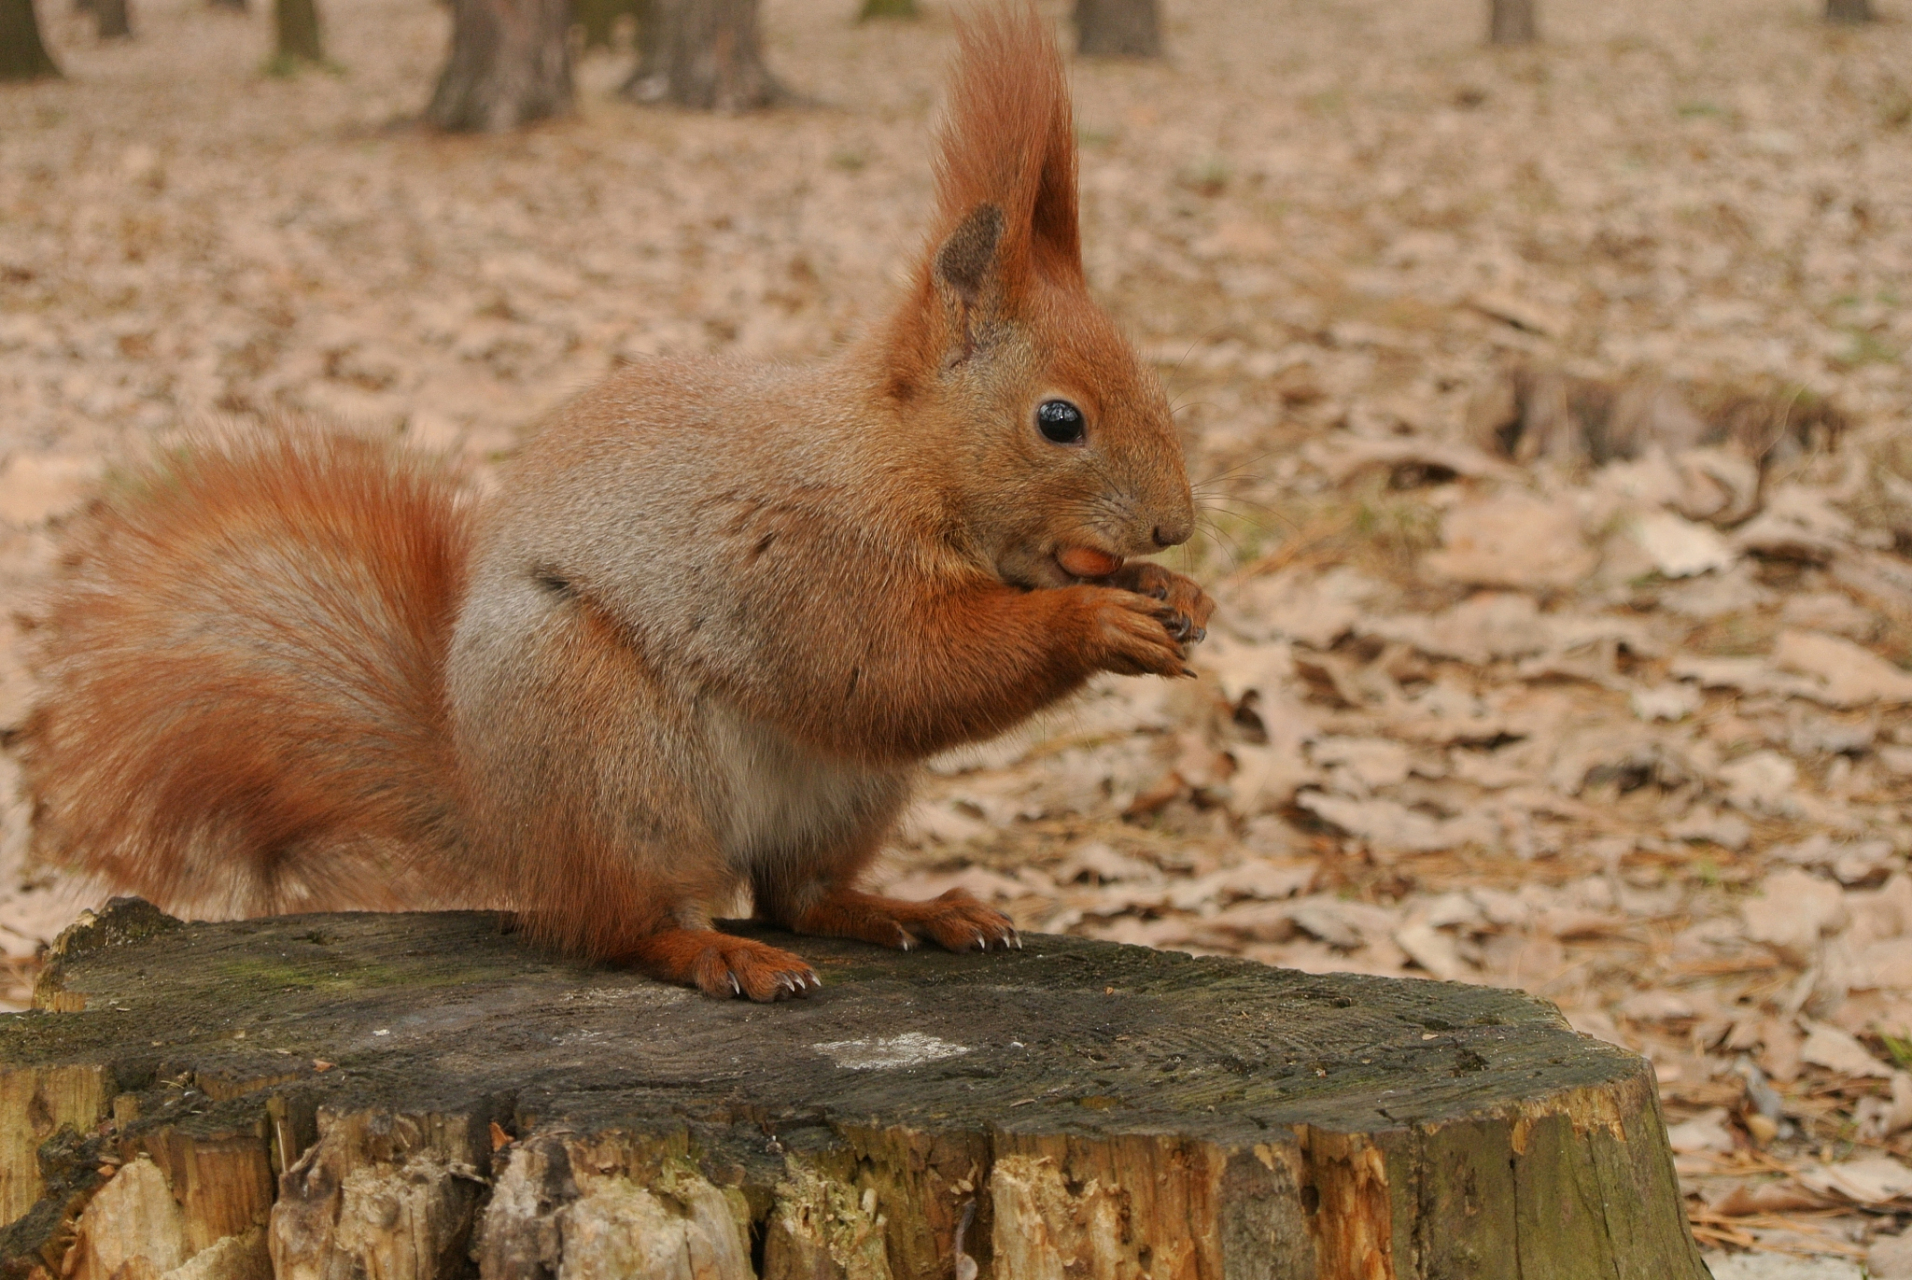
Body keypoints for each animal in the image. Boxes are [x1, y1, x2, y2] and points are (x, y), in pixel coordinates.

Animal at [14, 2, 1208, 994]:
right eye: (1059, 420)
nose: (1175, 524)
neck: (895, 459)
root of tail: (504, 820)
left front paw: (1177, 595)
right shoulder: (804, 556)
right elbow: (893, 668)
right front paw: (1096, 620)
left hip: (843, 797)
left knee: (801, 893)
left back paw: (913, 910)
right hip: (606, 755)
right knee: (624, 926)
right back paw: (719, 954)